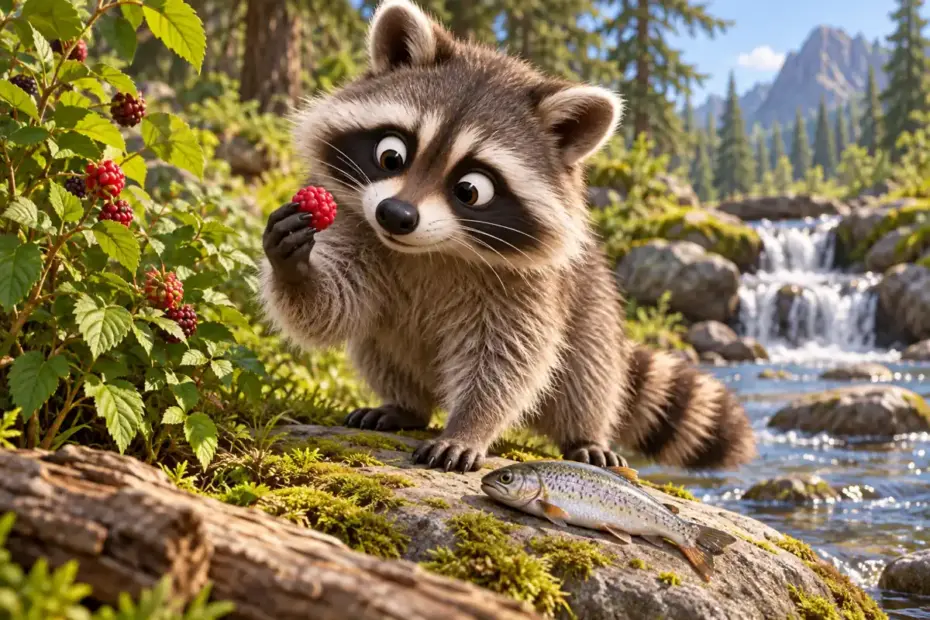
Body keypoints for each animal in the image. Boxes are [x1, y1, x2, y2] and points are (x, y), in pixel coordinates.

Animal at [259, 0, 757, 473]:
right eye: (391, 156)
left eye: (470, 190)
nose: (396, 216)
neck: (435, 249)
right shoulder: (356, 223)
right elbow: (337, 304)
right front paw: (297, 269)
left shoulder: (530, 286)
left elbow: (508, 359)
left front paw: (470, 426)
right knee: (377, 344)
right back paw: (406, 404)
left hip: (593, 307)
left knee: (588, 373)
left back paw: (585, 433)